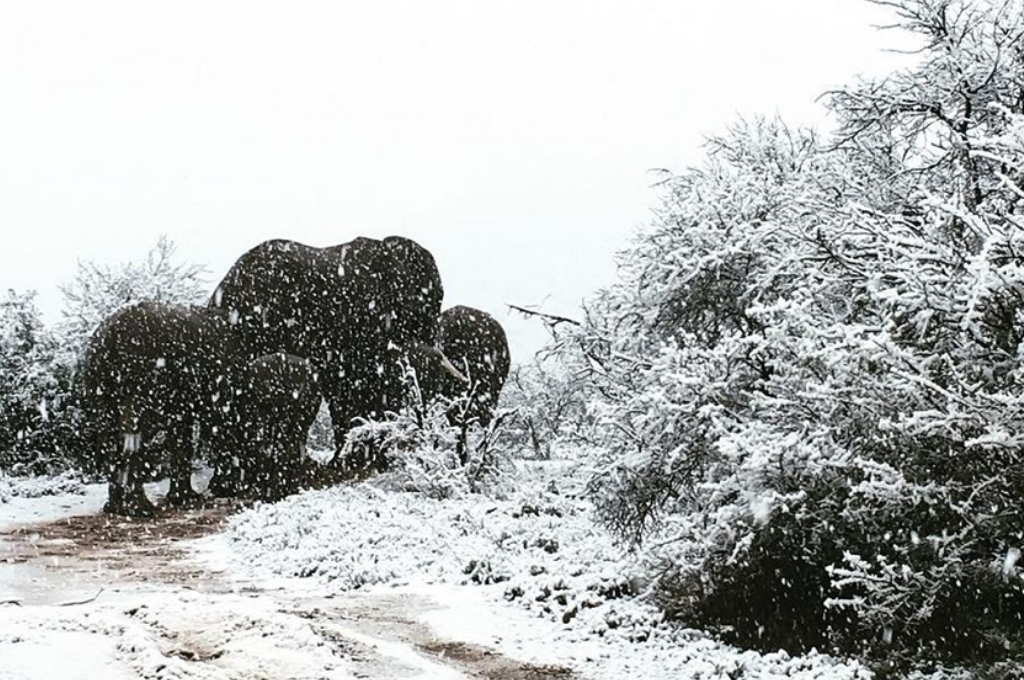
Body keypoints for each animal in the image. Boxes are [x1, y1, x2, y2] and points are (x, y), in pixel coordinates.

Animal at [76, 301, 237, 518]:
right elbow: (217, 421)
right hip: (145, 378)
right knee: (137, 434)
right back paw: (141, 510)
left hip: (97, 380)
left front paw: (185, 499)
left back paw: (114, 508)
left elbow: (183, 432)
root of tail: (111, 335)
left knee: (109, 435)